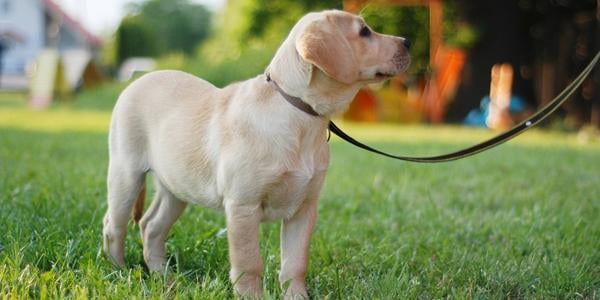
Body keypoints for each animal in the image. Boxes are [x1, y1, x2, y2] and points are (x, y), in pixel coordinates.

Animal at [103, 8, 410, 298]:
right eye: (364, 32)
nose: (407, 42)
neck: (299, 113)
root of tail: (139, 79)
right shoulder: (243, 206)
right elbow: (249, 264)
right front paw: (251, 296)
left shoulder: (304, 208)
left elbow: (295, 264)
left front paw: (297, 297)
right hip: (126, 174)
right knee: (114, 225)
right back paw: (119, 271)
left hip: (177, 186)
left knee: (151, 226)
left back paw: (164, 277)